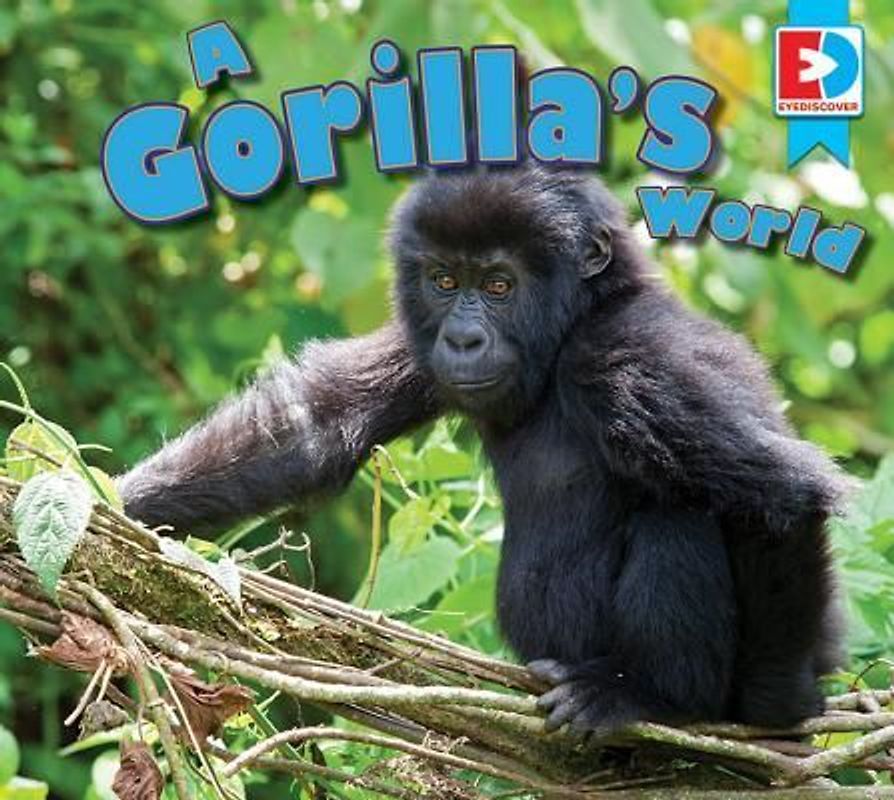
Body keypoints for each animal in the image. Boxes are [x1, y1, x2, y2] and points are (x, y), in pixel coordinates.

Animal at [119, 163, 848, 734]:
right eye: (444, 281)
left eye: (499, 285)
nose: (464, 339)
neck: (578, 321)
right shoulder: (420, 335)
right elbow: (311, 425)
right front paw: (113, 501)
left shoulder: (634, 359)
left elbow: (782, 497)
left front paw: (777, 706)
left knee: (680, 514)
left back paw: (654, 698)